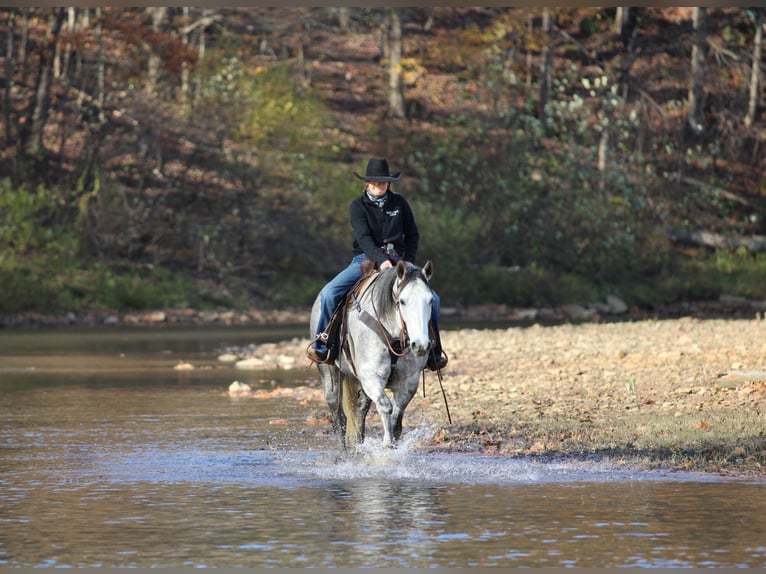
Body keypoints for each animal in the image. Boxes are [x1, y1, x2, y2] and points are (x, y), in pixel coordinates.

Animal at [310, 260, 435, 450]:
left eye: (430, 300)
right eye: (402, 301)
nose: (420, 345)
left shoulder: (409, 381)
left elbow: (397, 415)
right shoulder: (371, 376)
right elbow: (385, 406)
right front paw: (387, 443)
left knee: (361, 409)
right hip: (328, 373)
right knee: (339, 418)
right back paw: (344, 452)